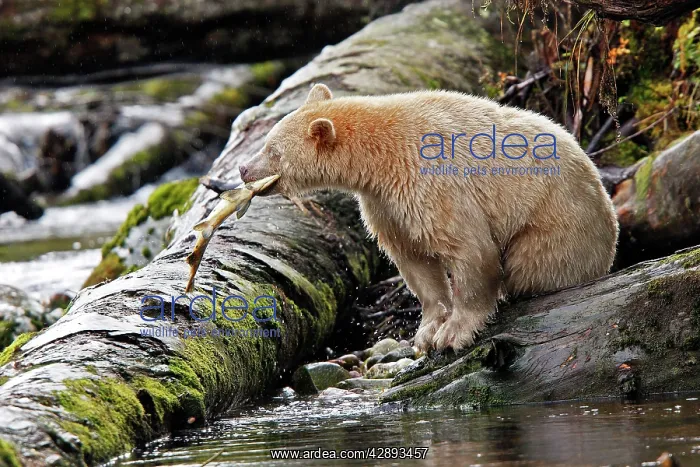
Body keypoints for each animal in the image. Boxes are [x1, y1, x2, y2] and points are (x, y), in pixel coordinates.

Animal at [239, 83, 618, 351]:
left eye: (273, 150)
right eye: (265, 141)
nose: (243, 169)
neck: (381, 156)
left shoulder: (431, 180)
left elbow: (469, 248)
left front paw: (453, 333)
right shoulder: (385, 203)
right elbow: (413, 259)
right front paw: (427, 331)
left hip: (556, 226)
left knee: (531, 265)